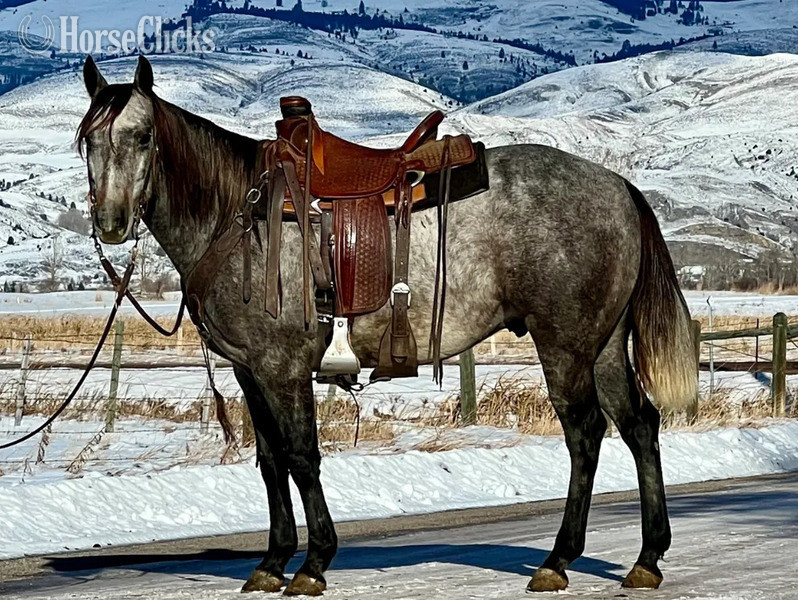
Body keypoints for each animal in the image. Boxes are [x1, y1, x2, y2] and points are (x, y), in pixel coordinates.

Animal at [77, 55, 697, 595]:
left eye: (143, 136)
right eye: (89, 140)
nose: (110, 223)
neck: (238, 213)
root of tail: (619, 187)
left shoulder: (283, 367)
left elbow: (301, 456)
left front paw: (314, 563)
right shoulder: (250, 371)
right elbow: (271, 461)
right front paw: (272, 562)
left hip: (565, 344)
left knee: (585, 432)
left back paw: (558, 560)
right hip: (605, 344)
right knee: (639, 425)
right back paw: (647, 558)